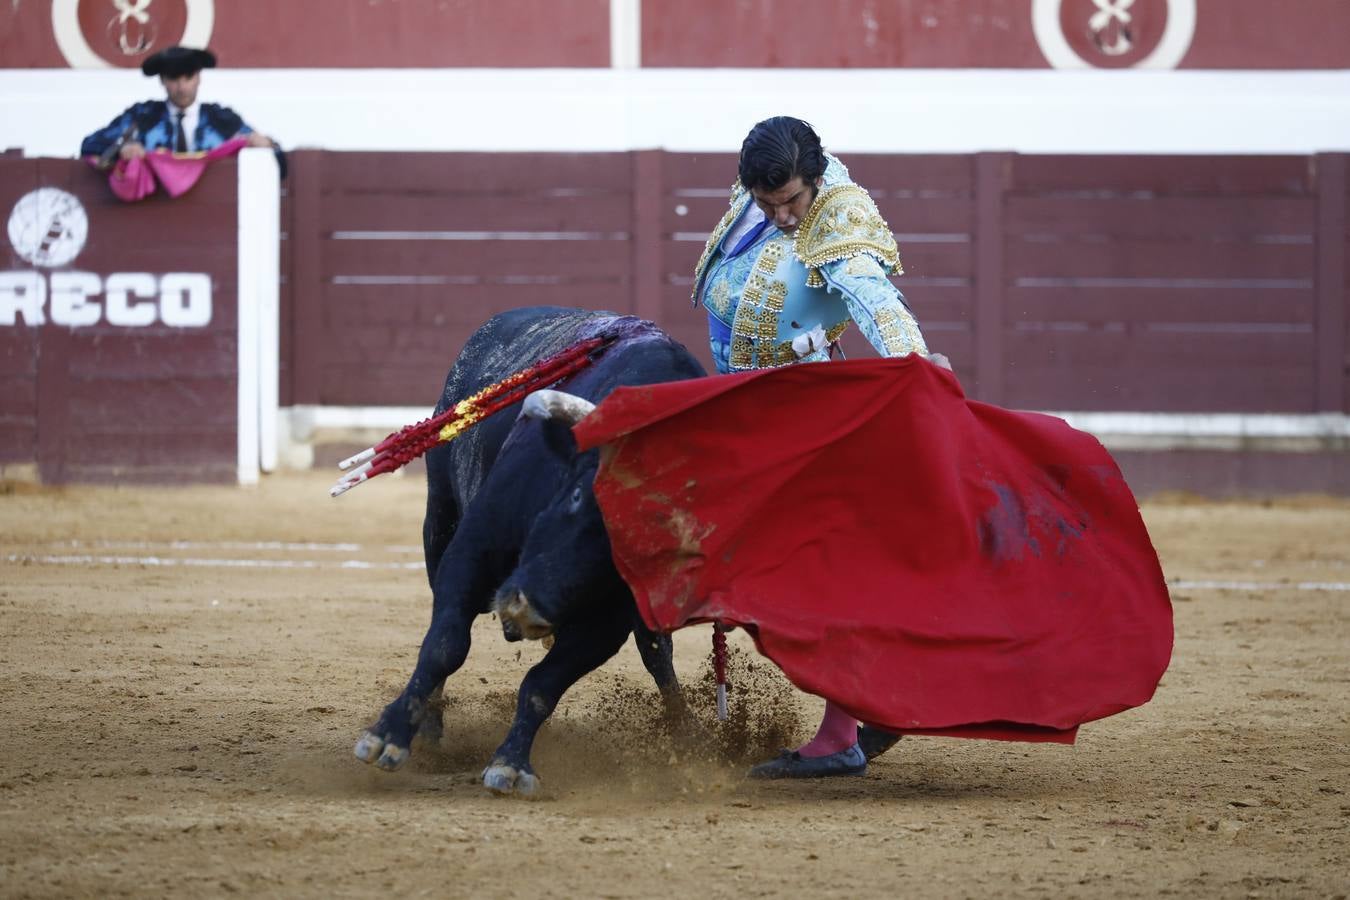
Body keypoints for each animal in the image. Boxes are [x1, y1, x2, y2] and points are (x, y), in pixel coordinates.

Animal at [353, 306, 707, 793]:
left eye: (649, 548)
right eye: (577, 497)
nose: (526, 609)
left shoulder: (606, 622)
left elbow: (544, 684)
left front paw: (510, 762)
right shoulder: (472, 553)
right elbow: (445, 645)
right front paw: (388, 736)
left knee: (657, 654)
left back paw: (687, 735)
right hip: (438, 522)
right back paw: (430, 732)